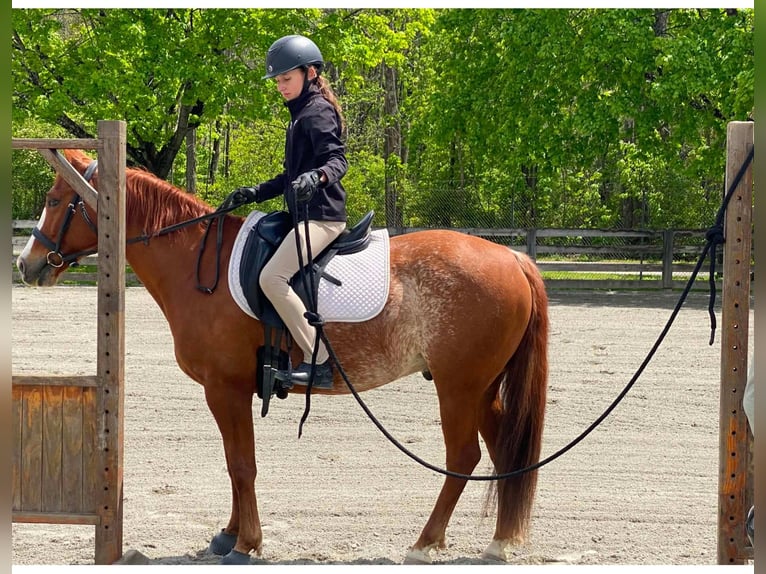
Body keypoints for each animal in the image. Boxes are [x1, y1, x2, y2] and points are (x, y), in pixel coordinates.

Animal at [16, 148, 550, 565]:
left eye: (55, 201)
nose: (27, 264)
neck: (197, 263)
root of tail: (512, 257)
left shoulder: (225, 388)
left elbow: (241, 464)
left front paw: (246, 544)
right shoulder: (228, 392)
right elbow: (234, 461)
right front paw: (229, 534)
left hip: (458, 386)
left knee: (464, 456)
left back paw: (424, 543)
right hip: (480, 387)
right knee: (503, 449)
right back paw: (500, 542)